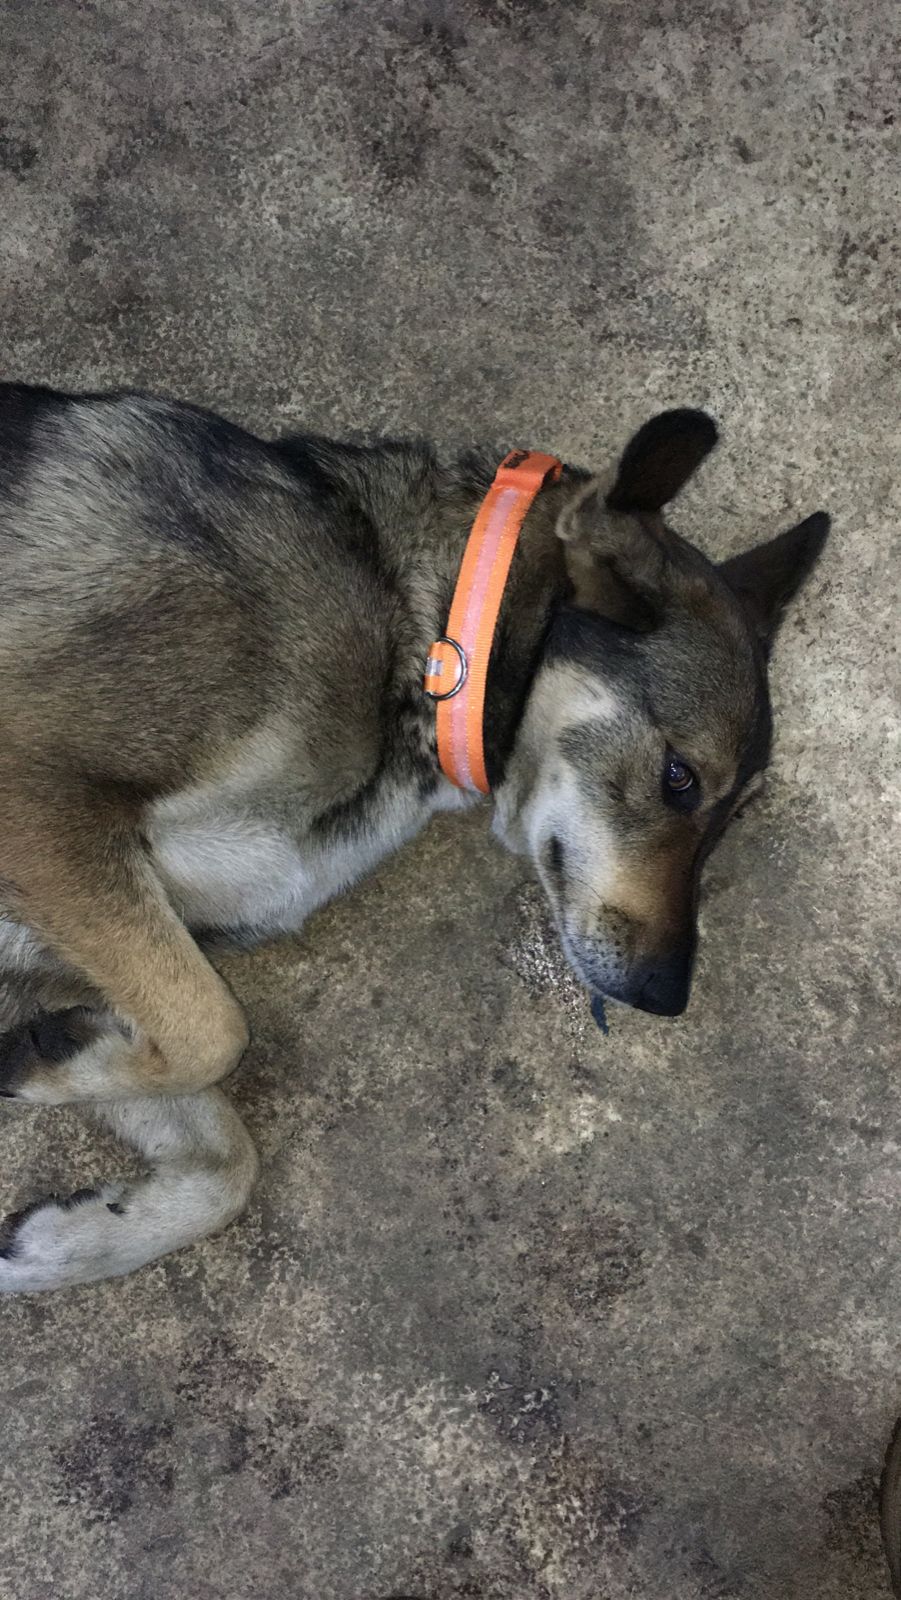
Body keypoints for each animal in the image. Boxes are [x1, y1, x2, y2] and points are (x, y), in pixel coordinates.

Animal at [0, 386, 829, 1290]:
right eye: (678, 778)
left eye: (732, 818)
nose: (664, 995)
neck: (425, 641)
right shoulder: (42, 802)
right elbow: (216, 1028)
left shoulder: (58, 960)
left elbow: (227, 1158)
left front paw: (64, 1235)